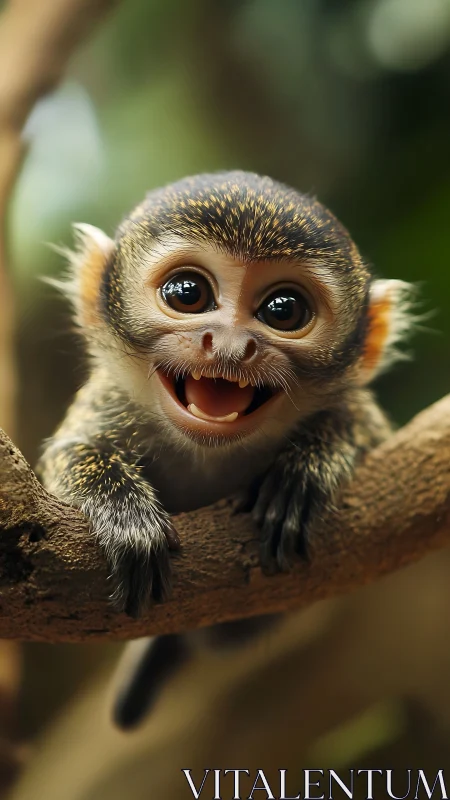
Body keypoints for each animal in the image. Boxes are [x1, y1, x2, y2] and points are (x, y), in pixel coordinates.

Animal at [38, 170, 414, 729]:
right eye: (188, 293)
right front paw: (122, 509)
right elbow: (66, 456)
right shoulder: (107, 404)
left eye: (283, 310)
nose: (231, 344)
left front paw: (309, 468)